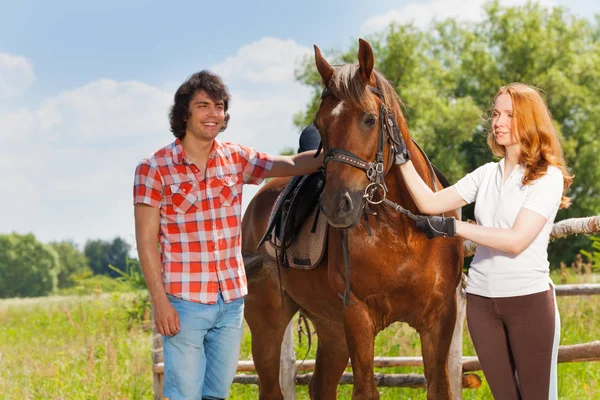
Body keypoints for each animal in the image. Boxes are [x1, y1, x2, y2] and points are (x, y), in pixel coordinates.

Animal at [240, 38, 464, 400]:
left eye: (370, 119)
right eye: (320, 125)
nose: (336, 205)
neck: (402, 233)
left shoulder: (439, 318)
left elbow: (440, 388)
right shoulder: (357, 316)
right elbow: (366, 390)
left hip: (329, 326)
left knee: (320, 385)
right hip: (267, 322)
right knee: (272, 387)